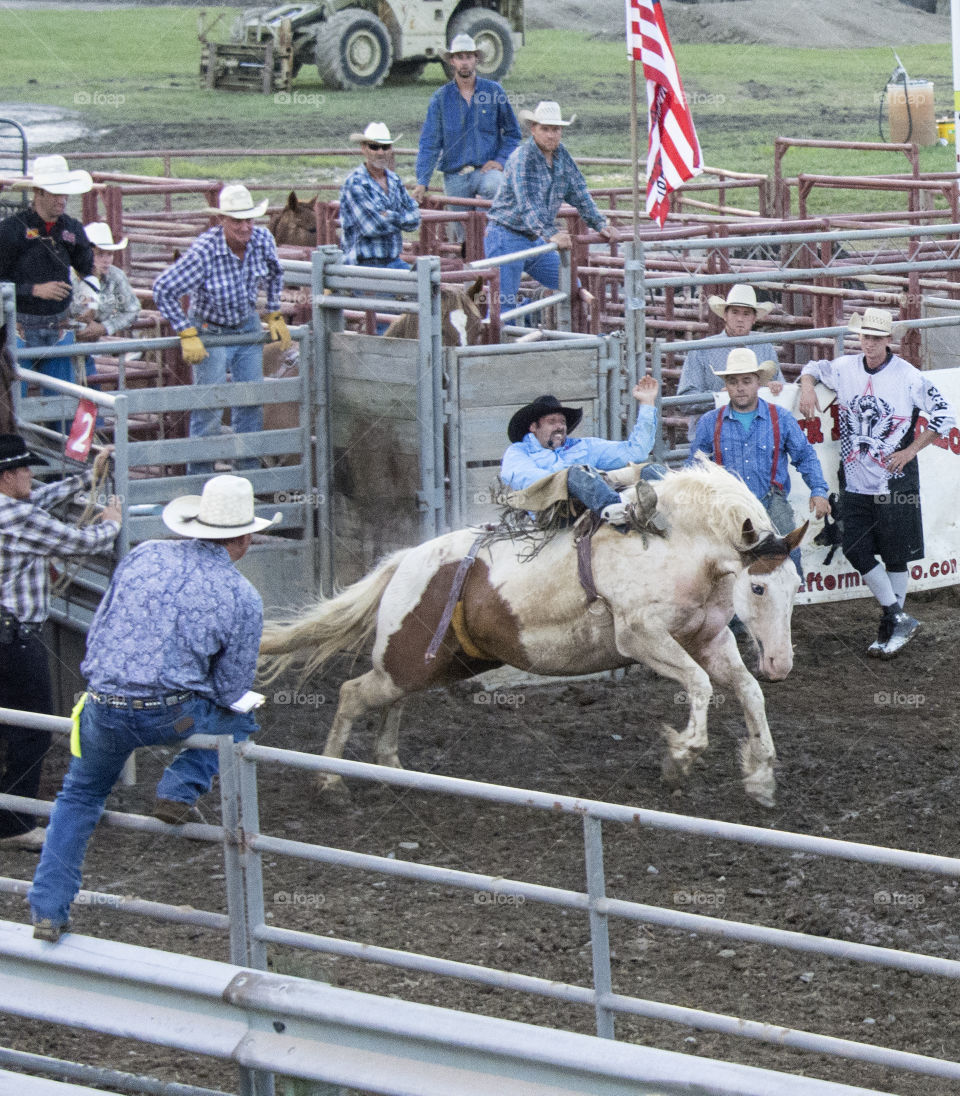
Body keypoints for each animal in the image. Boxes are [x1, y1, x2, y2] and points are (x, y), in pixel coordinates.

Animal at [258, 458, 806, 811]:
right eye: (757, 586)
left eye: (796, 585)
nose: (782, 664)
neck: (680, 544)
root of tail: (404, 562)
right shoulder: (641, 637)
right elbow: (699, 685)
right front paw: (681, 755)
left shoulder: (708, 642)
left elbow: (747, 691)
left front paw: (760, 776)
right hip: (410, 661)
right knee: (353, 694)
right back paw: (332, 783)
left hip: (432, 662)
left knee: (391, 700)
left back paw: (389, 768)